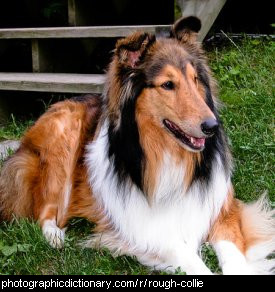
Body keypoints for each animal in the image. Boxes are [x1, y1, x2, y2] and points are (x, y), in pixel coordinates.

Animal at [0, 17, 275, 274]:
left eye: (196, 79)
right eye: (167, 84)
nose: (212, 126)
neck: (169, 153)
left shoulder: (223, 209)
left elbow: (233, 256)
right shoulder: (145, 229)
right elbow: (191, 260)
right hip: (62, 141)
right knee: (44, 209)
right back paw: (55, 235)